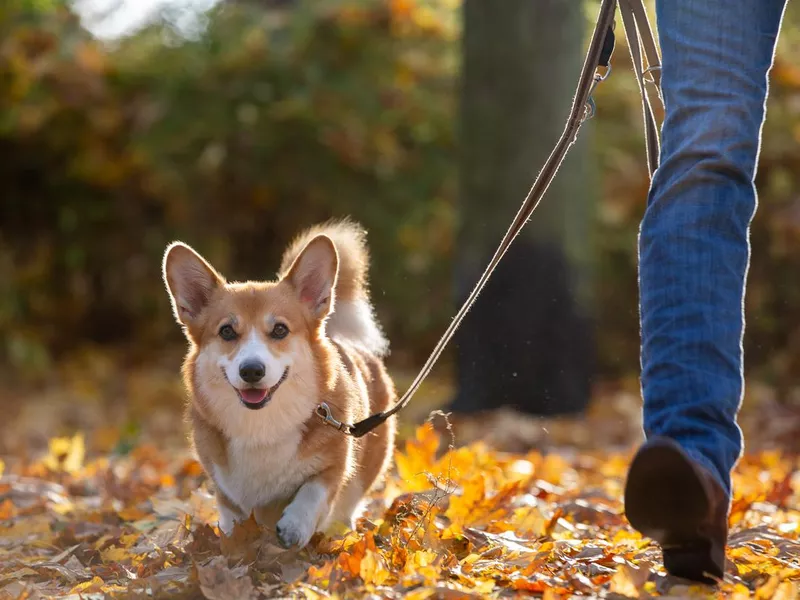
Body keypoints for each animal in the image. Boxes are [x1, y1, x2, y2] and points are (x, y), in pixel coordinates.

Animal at [162, 221, 396, 548]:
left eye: (280, 330)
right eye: (227, 331)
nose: (251, 370)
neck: (262, 426)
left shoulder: (334, 464)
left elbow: (313, 491)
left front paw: (295, 526)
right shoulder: (223, 486)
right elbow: (232, 514)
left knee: (346, 508)